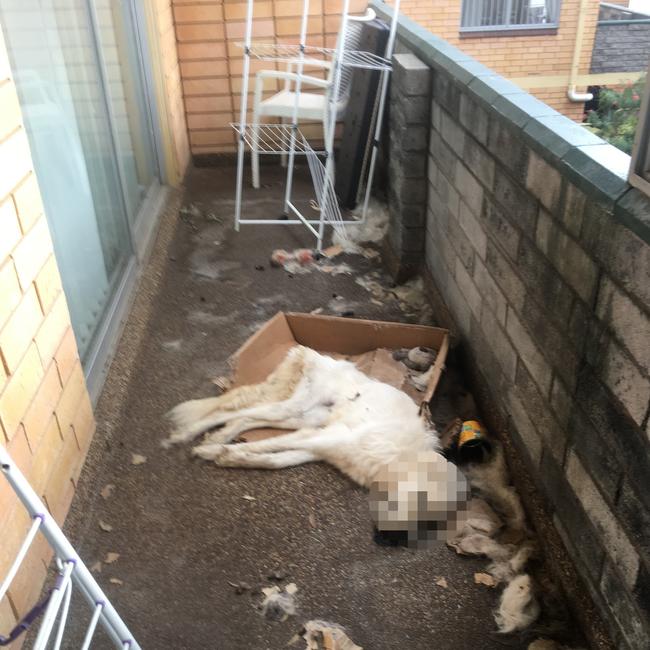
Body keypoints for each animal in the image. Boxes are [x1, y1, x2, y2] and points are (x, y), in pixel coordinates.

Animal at [163, 342, 466, 544]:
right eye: (420, 501)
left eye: (428, 523)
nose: (385, 537)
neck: (401, 457)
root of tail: (314, 354)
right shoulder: (328, 436)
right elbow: (263, 447)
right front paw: (215, 452)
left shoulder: (318, 447)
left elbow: (273, 460)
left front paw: (230, 457)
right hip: (295, 411)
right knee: (233, 412)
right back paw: (190, 436)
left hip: (300, 418)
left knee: (246, 419)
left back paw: (218, 437)